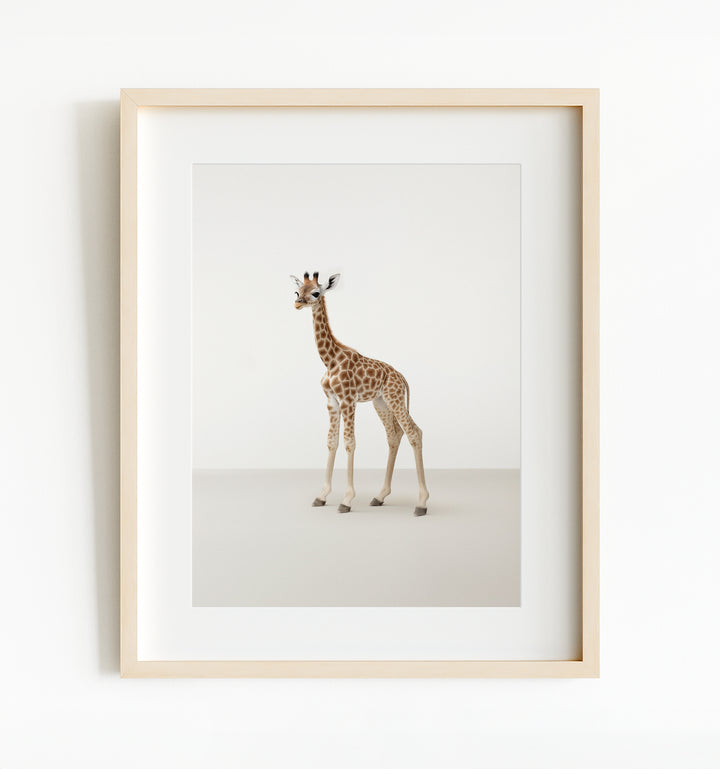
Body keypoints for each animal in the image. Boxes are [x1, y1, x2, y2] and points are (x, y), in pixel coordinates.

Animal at [290, 271, 429, 516]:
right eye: (297, 291)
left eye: (315, 293)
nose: (298, 303)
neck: (330, 360)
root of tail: (402, 377)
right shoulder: (332, 401)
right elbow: (332, 442)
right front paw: (322, 496)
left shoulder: (348, 400)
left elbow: (350, 442)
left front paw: (346, 500)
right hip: (381, 402)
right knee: (394, 435)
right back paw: (380, 496)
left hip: (394, 398)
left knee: (414, 432)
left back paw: (421, 503)